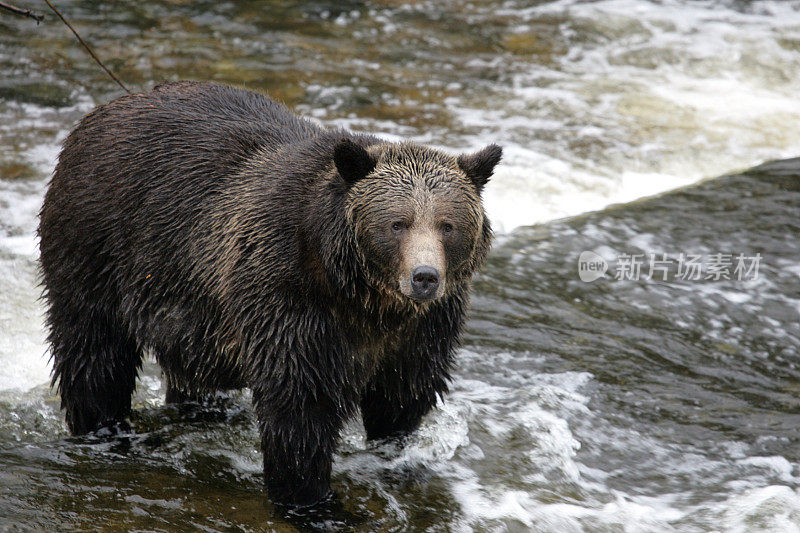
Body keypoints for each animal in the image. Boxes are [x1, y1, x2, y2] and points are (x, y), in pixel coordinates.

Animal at [39, 80, 500, 508]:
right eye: (397, 223)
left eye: (447, 224)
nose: (425, 277)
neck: (364, 297)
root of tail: (103, 110)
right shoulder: (288, 296)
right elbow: (300, 405)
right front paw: (309, 498)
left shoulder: (423, 329)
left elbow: (402, 397)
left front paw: (398, 459)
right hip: (97, 246)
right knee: (94, 353)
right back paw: (103, 430)